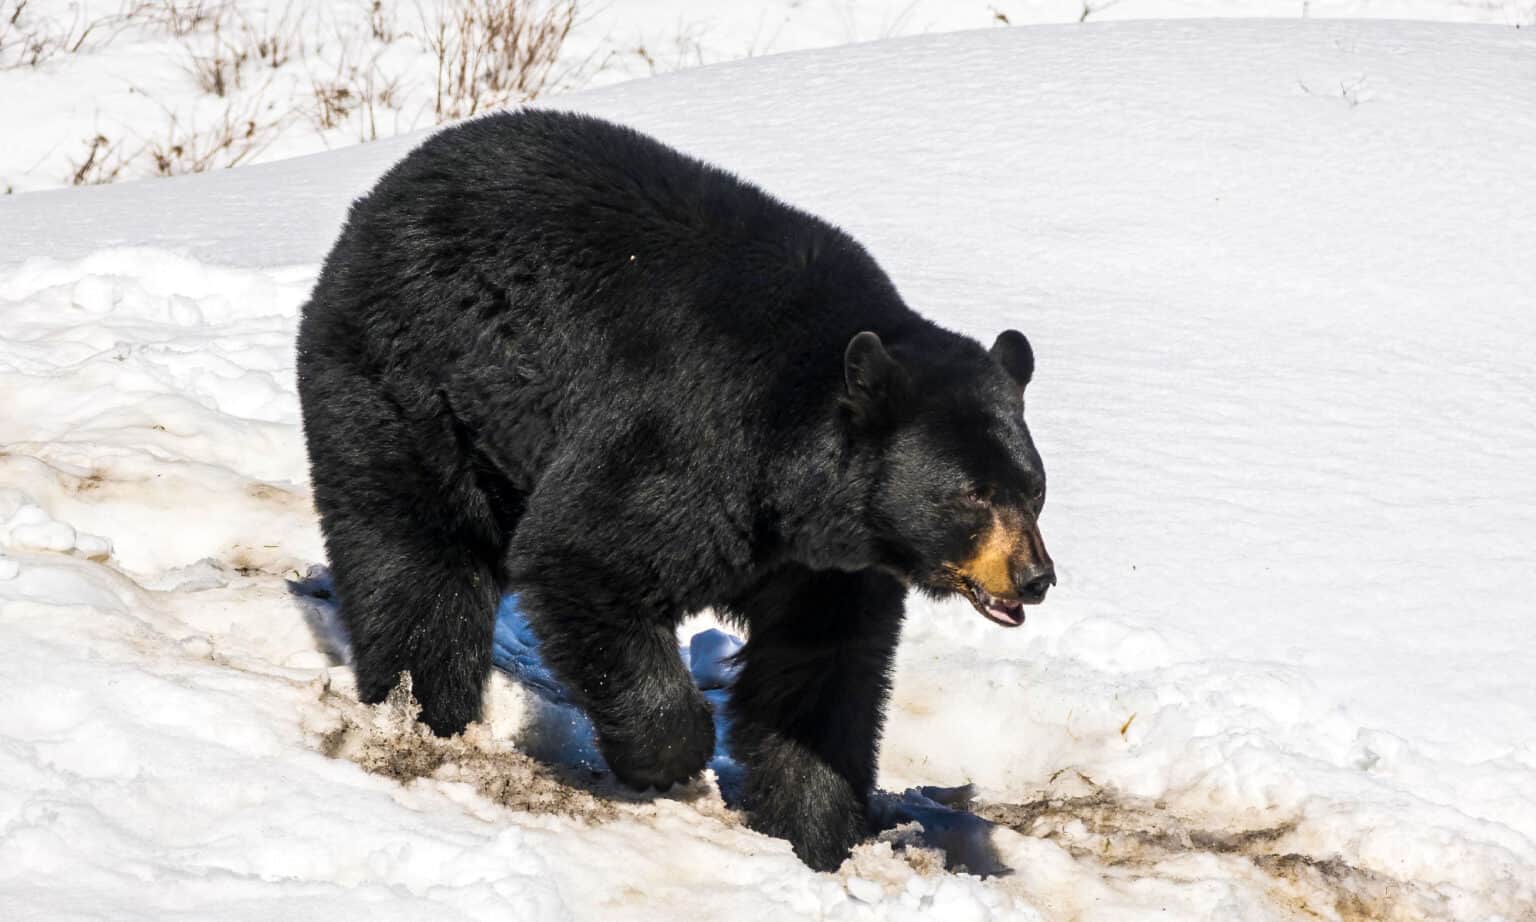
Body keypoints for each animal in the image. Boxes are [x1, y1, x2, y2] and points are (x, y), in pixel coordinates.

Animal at [295, 109, 1054, 871]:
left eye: (1035, 490)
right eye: (973, 493)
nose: (1035, 576)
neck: (793, 483)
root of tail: (386, 191)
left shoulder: (825, 561)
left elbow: (820, 672)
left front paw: (817, 832)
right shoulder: (689, 440)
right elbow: (582, 554)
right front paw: (673, 756)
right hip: (412, 379)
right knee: (417, 552)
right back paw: (424, 707)